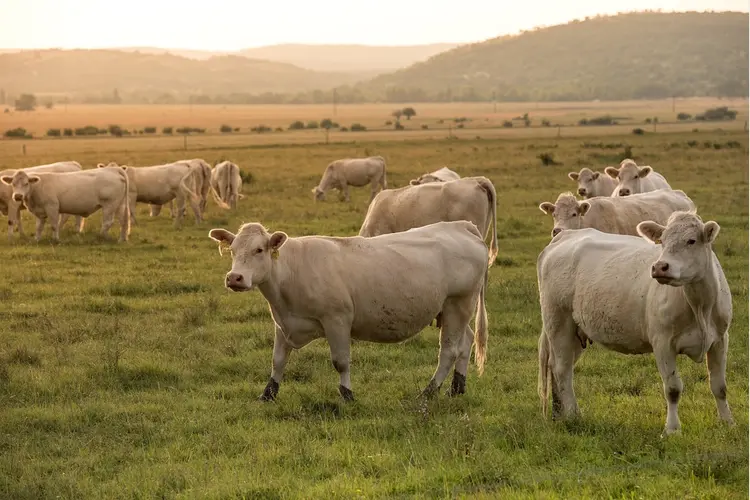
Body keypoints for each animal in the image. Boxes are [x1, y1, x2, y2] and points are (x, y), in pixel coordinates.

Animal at [1, 166, 131, 242]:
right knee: (123, 221)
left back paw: (101, 237)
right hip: (120, 205)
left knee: (108, 222)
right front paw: (36, 240)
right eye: (13, 183)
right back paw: (122, 239)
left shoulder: (52, 207)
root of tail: (113, 169)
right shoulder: (40, 212)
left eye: (26, 183)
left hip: (109, 205)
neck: (38, 186)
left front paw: (56, 239)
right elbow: (39, 227)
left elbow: (54, 225)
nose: (18, 196)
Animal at [209, 219, 490, 402]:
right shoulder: (283, 323)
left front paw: (347, 395)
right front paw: (268, 393)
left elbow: (341, 362)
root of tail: (461, 226)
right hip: (455, 310)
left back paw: (428, 392)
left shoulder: (337, 320)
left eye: (259, 249)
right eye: (232, 250)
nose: (235, 278)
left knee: (449, 351)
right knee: (465, 343)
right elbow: (277, 361)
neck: (292, 270)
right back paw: (457, 388)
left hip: (458, 304)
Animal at [536, 213, 736, 436]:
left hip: (576, 331)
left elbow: (719, 386)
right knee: (562, 369)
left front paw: (727, 422)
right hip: (558, 321)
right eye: (662, 241)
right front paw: (672, 429)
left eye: (691, 240)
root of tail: (565, 236)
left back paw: (559, 414)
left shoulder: (720, 340)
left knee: (560, 367)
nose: (660, 267)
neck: (700, 306)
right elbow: (673, 389)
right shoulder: (662, 343)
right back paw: (573, 415)